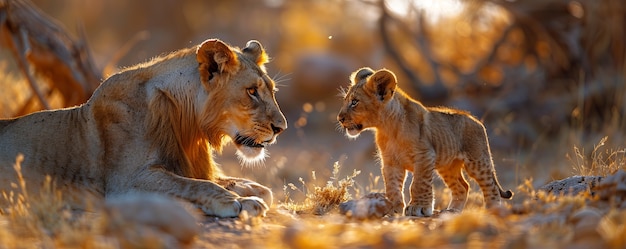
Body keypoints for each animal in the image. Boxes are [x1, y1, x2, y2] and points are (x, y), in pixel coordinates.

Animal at [0, 38, 288, 218]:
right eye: (251, 92)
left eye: (272, 91)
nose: (280, 128)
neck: (188, 123)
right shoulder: (123, 183)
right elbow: (195, 186)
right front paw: (239, 202)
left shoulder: (185, 166)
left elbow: (254, 187)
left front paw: (248, 192)